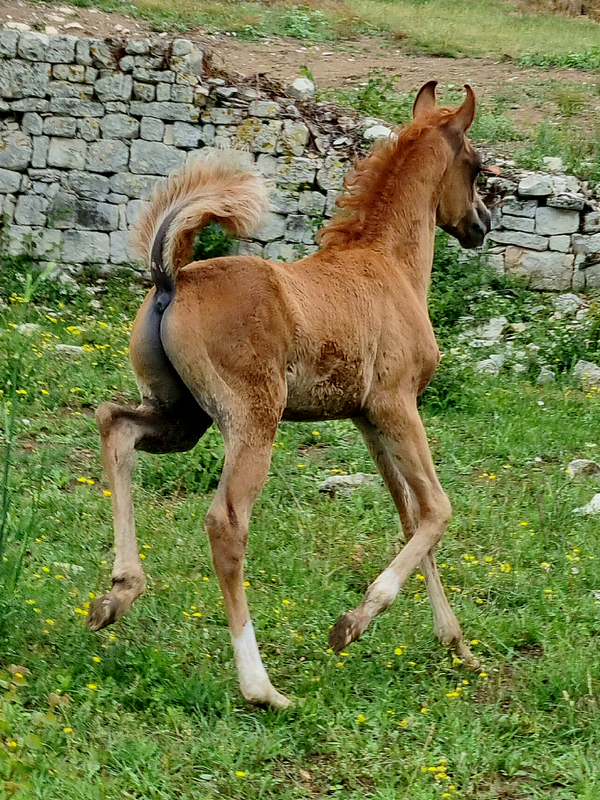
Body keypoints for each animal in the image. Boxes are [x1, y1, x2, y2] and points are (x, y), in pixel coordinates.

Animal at [88, 81, 491, 708]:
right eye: (473, 167)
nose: (483, 223)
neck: (388, 265)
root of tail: (169, 278)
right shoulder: (397, 405)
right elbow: (437, 509)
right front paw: (352, 624)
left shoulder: (368, 420)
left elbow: (411, 518)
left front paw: (457, 645)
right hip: (254, 418)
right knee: (226, 523)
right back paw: (262, 687)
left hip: (182, 417)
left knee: (117, 425)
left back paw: (117, 595)